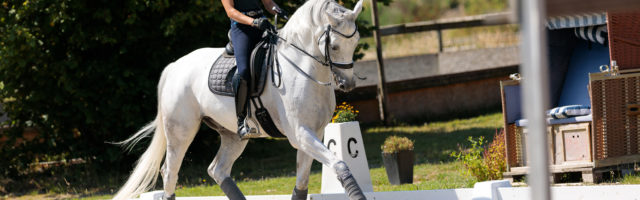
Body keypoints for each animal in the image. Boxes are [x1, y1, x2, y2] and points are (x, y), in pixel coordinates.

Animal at [112, 0, 368, 199]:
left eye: (355, 42)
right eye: (334, 46)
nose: (347, 84)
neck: (303, 68)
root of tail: (175, 66)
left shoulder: (314, 133)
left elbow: (302, 185)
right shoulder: (300, 134)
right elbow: (340, 164)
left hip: (233, 135)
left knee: (217, 170)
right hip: (180, 131)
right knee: (170, 172)